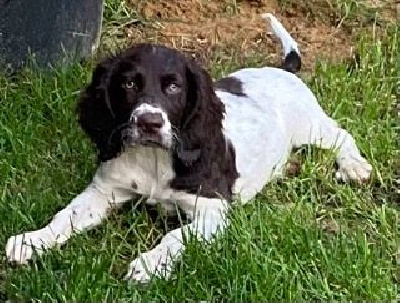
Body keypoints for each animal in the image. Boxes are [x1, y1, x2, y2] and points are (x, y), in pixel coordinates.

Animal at [4, 13, 372, 284]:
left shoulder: (212, 211)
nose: (149, 122)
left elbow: (175, 237)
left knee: (342, 135)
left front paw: (148, 265)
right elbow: (66, 216)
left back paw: (354, 166)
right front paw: (32, 241)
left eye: (174, 87)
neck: (154, 159)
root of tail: (282, 70)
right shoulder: (105, 189)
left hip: (310, 126)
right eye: (128, 83)